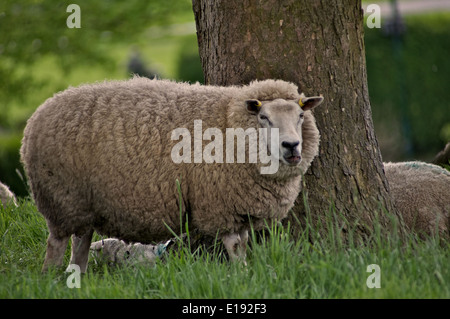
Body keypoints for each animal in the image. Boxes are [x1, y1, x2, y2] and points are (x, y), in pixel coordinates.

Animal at [21, 77, 324, 272]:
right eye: (264, 118)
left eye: (300, 115)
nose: (292, 145)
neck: (229, 120)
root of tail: (36, 117)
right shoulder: (218, 205)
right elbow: (235, 246)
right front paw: (242, 276)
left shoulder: (239, 209)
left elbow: (244, 245)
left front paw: (246, 272)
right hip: (62, 197)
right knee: (56, 243)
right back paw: (49, 278)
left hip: (84, 203)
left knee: (81, 242)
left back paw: (77, 277)